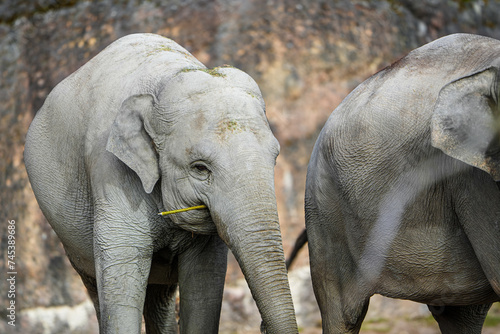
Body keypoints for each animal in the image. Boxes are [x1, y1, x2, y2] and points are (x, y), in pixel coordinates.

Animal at [24, 33, 296, 334]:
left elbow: (203, 285)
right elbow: (122, 272)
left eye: (275, 158)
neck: (168, 77)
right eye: (199, 168)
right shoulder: (111, 171)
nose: (261, 325)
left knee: (159, 296)